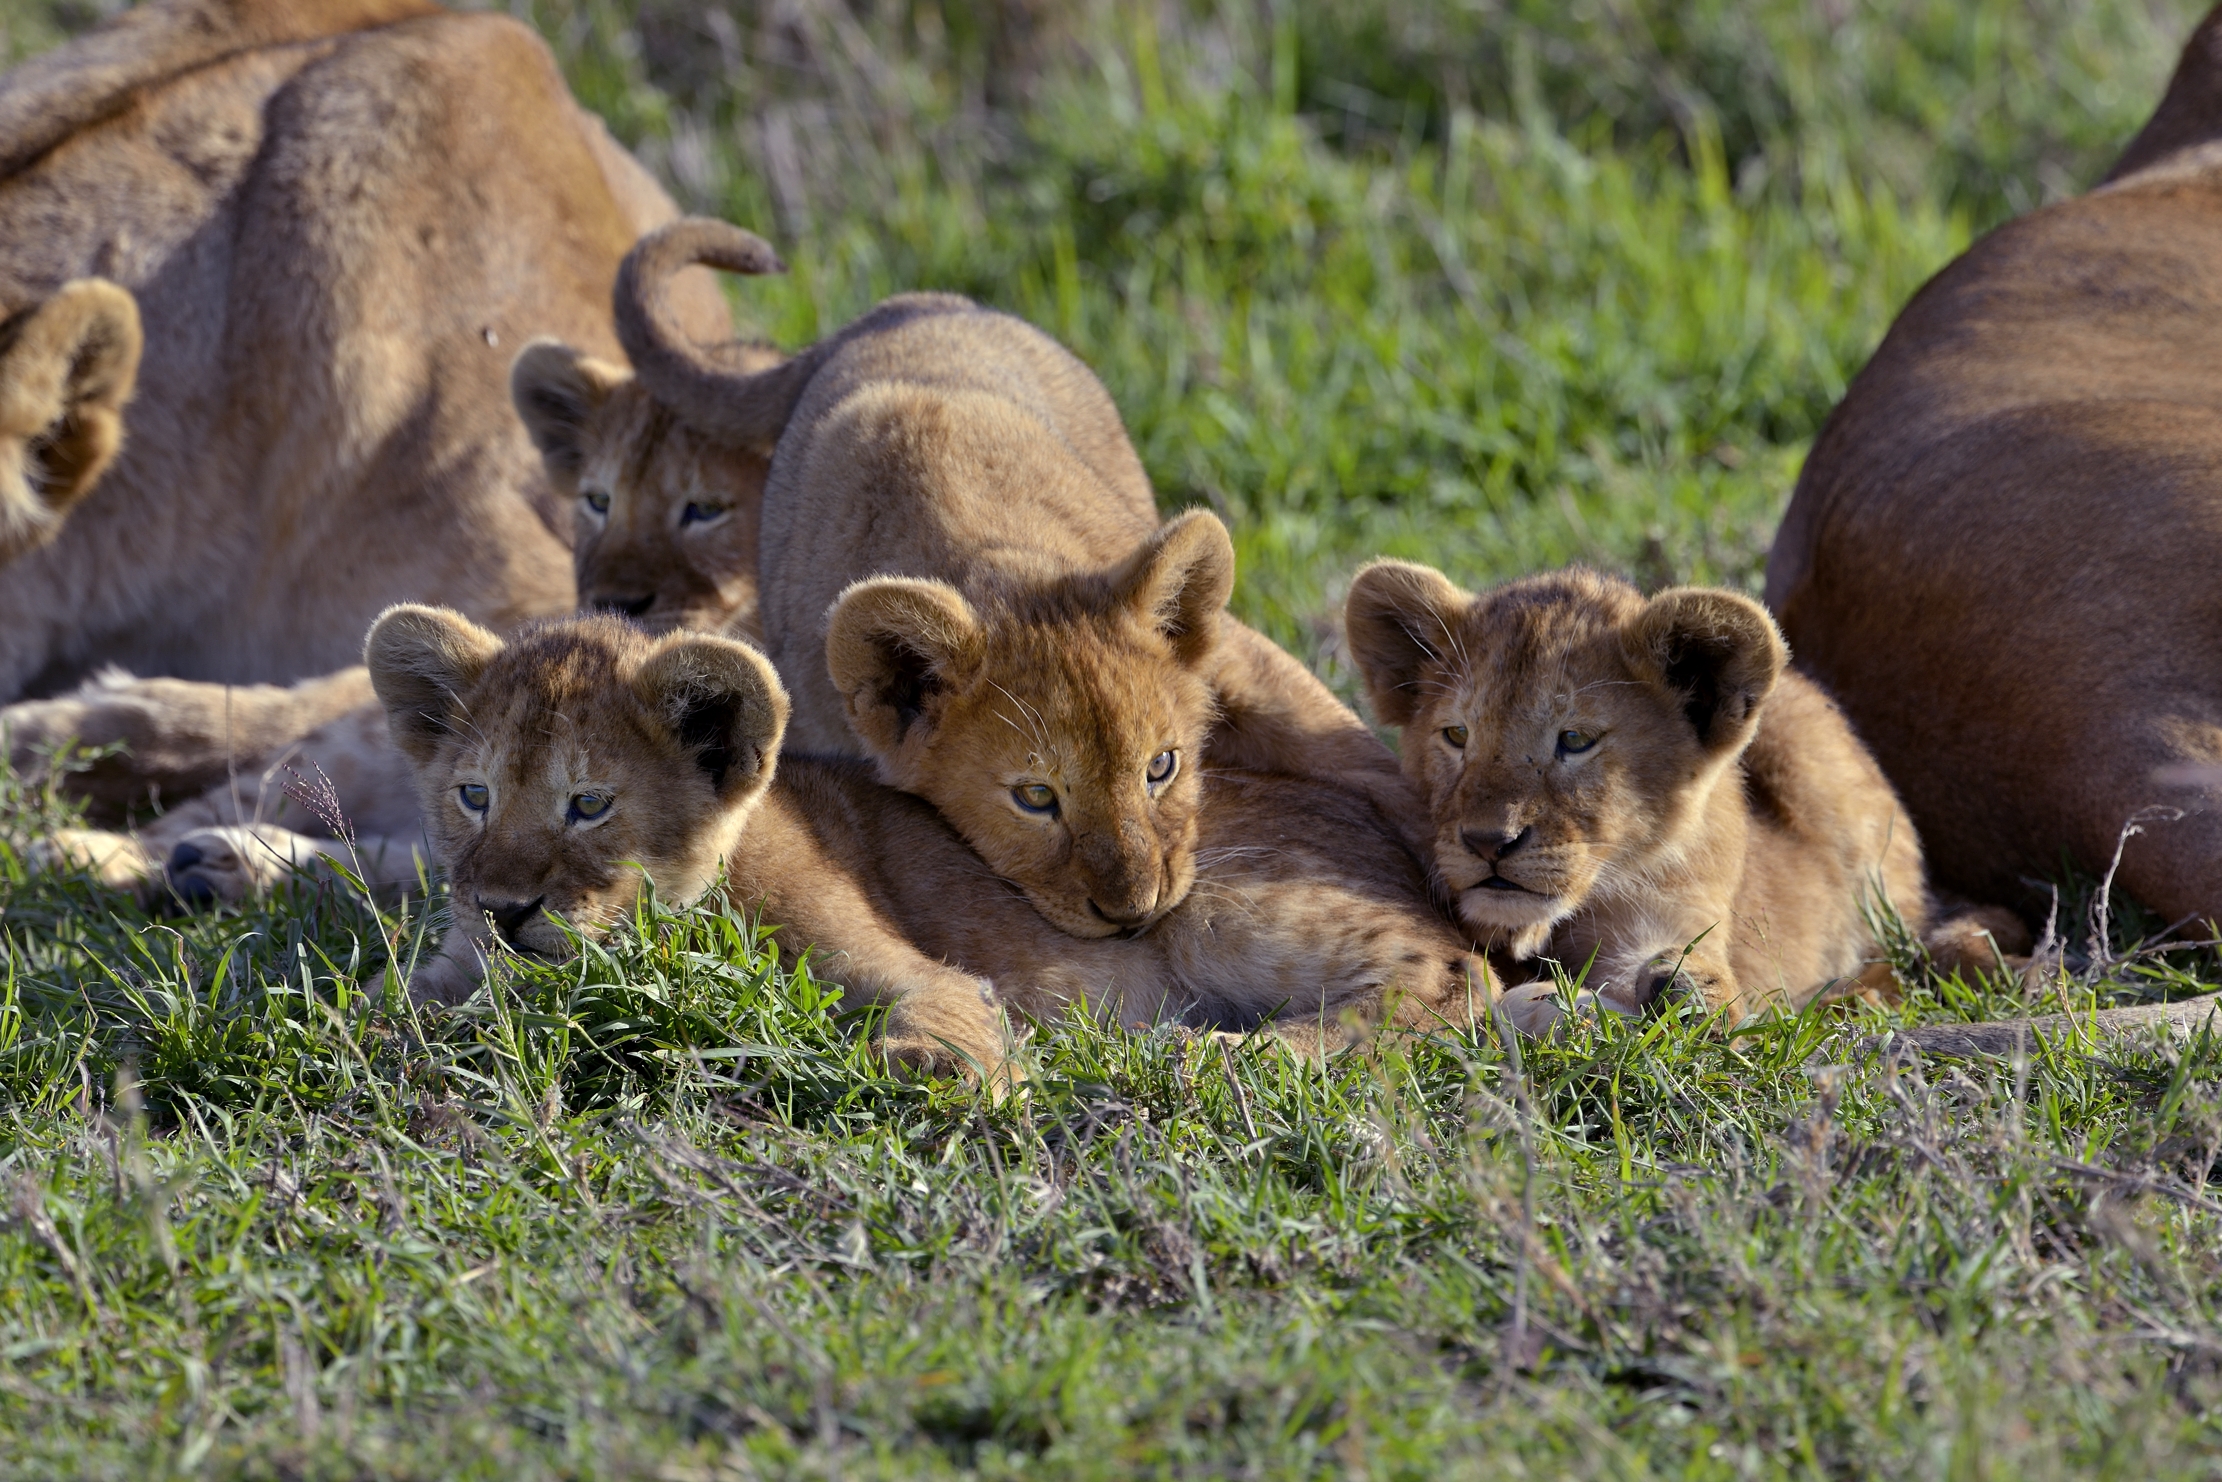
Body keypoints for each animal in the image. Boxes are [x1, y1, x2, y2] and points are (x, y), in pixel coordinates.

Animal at [361, 606, 1506, 1075]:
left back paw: (1230, 1055)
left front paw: (942, 1069)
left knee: (1454, 973)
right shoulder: (449, 970)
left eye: (589, 805)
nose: (501, 907)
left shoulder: (919, 970)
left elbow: (940, 1011)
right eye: (472, 795)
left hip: (1213, 905)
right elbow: (374, 1013)